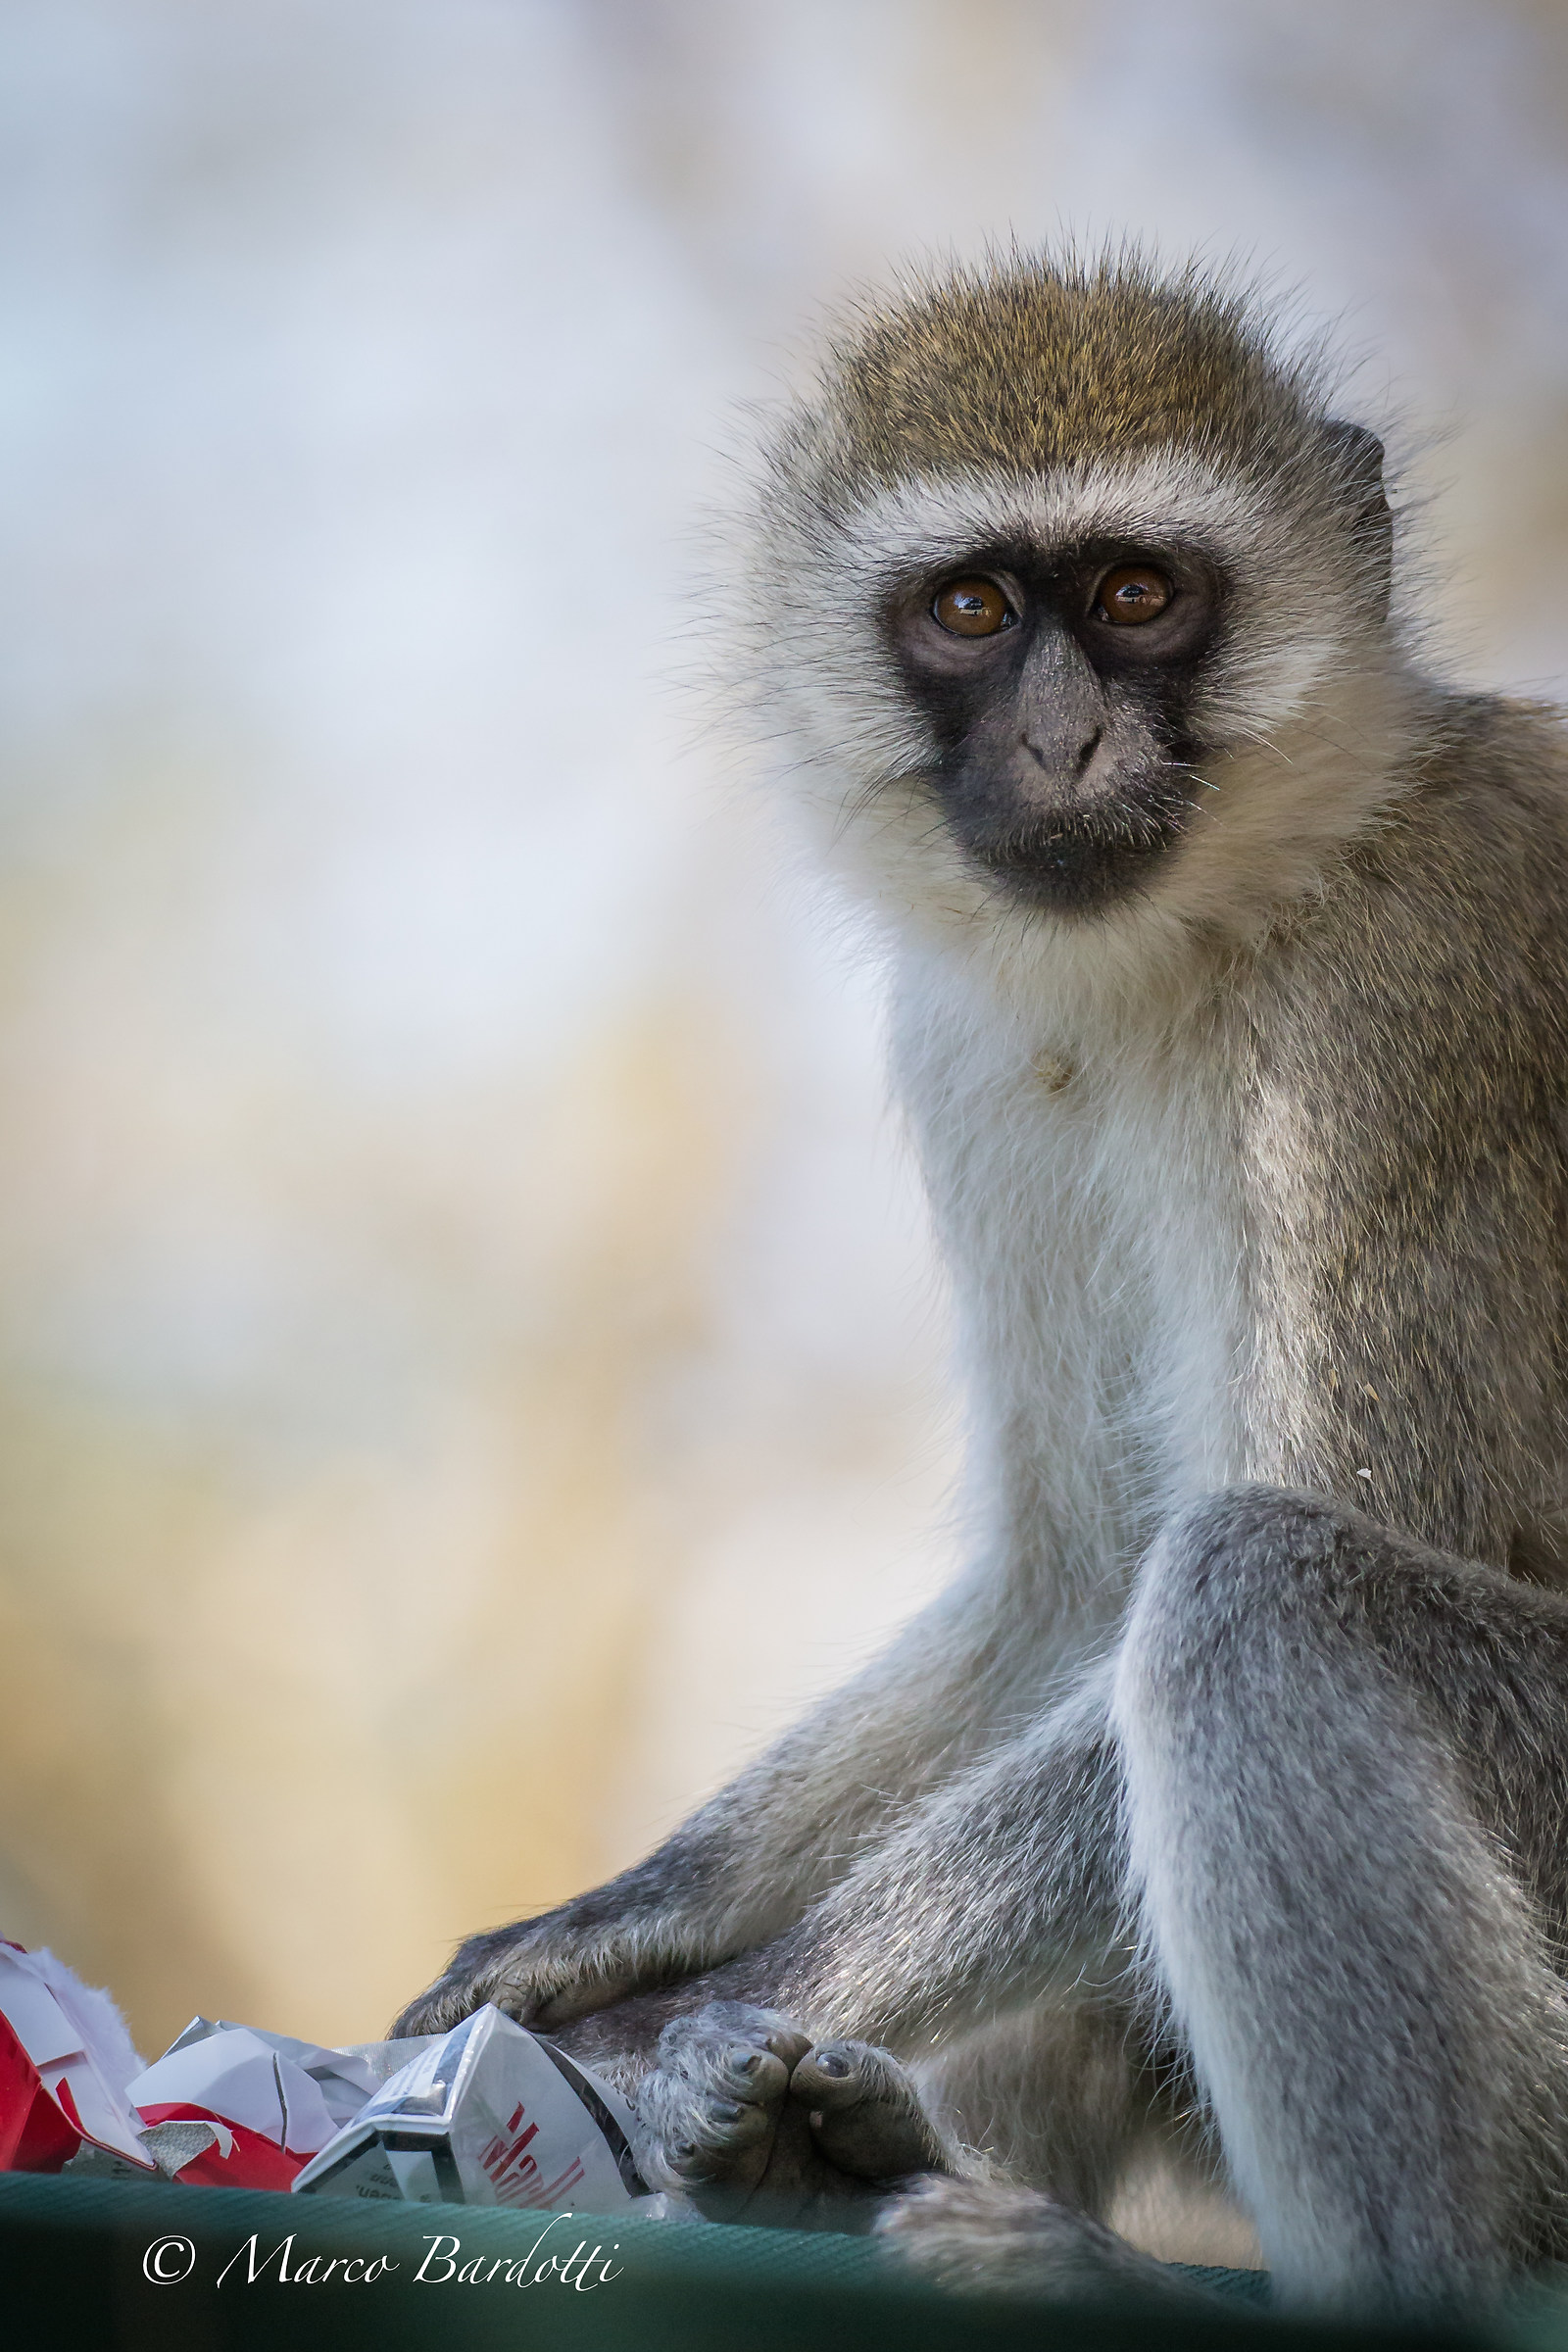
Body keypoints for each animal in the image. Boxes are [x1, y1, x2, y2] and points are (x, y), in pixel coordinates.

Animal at [395, 250, 1568, 2313]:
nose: (1064, 746)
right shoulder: (971, 1047)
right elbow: (1076, 1572)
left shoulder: (1394, 1021)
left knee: (1259, 1599)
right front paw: (635, 1925)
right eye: (968, 611)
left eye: (1136, 596)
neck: (1252, 907)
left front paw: (678, 2028)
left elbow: (1254, 1553)